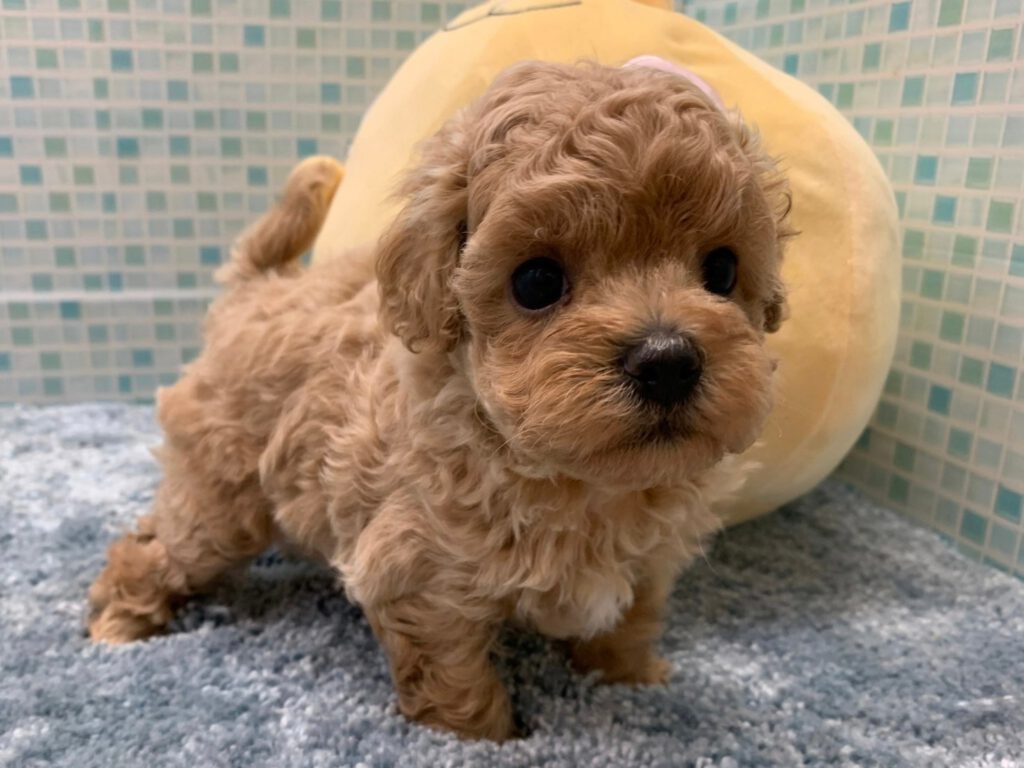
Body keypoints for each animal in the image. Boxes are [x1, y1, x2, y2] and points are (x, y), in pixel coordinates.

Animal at [88, 60, 791, 741]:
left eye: (722, 271)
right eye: (536, 281)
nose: (667, 360)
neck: (579, 483)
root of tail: (257, 290)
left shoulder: (649, 560)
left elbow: (632, 619)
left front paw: (632, 682)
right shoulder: (420, 576)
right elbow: (453, 676)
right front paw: (488, 739)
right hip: (224, 492)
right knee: (162, 549)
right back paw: (118, 625)